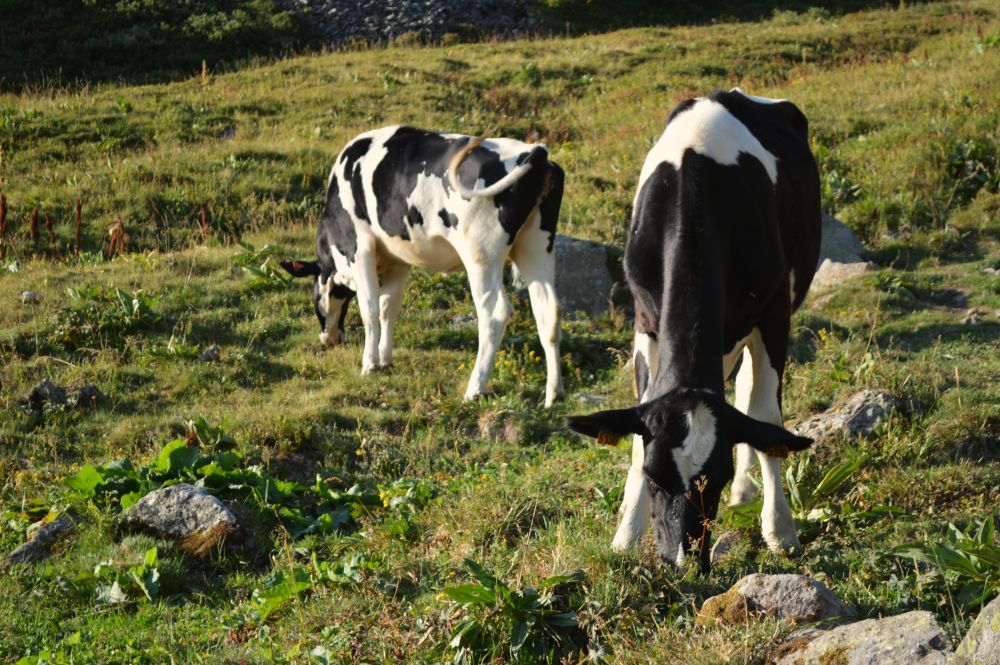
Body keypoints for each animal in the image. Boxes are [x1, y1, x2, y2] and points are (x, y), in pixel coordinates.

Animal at [282, 126, 564, 407]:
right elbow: (388, 309)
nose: (330, 339)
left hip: (481, 254)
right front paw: (384, 360)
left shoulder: (359, 248)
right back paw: (553, 394)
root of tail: (534, 151)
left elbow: (370, 310)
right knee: (548, 313)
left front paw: (369, 365)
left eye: (315, 296)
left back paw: (474, 389)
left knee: (494, 314)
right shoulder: (398, 260)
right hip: (537, 246)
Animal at [566, 89, 821, 572]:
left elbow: (766, 421)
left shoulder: (774, 314)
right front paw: (626, 535)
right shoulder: (645, 318)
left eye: (716, 478)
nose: (681, 561)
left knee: (749, 394)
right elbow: (638, 426)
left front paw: (780, 531)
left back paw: (749, 493)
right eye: (654, 476)